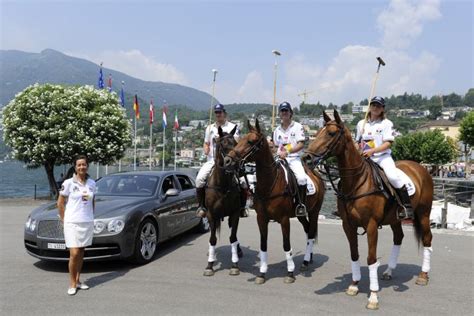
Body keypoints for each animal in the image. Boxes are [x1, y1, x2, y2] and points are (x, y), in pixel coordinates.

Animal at [203, 126, 243, 276]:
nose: (234, 164)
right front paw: (210, 265)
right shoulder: (211, 215)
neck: (222, 185)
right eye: (223, 144)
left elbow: (233, 237)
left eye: (236, 143)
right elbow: (212, 239)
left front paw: (235, 264)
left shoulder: (235, 213)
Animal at [224, 119, 324, 286]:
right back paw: (308, 258)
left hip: (314, 211)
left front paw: (290, 273)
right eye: (241, 139)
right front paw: (262, 273)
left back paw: (305, 261)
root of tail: (317, 175)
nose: (227, 160)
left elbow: (286, 245)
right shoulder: (261, 219)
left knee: (310, 233)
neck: (270, 184)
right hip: (300, 214)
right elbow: (263, 245)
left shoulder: (284, 220)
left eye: (250, 141)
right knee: (307, 229)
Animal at [304, 110, 434, 310]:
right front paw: (354, 285)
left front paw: (373, 296)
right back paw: (389, 271)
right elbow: (354, 254)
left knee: (427, 239)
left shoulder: (371, 225)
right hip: (395, 218)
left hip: (424, 213)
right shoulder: (348, 225)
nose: (307, 158)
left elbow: (371, 259)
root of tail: (421, 167)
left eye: (331, 134)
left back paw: (423, 276)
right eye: (317, 132)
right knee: (399, 237)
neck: (356, 183)